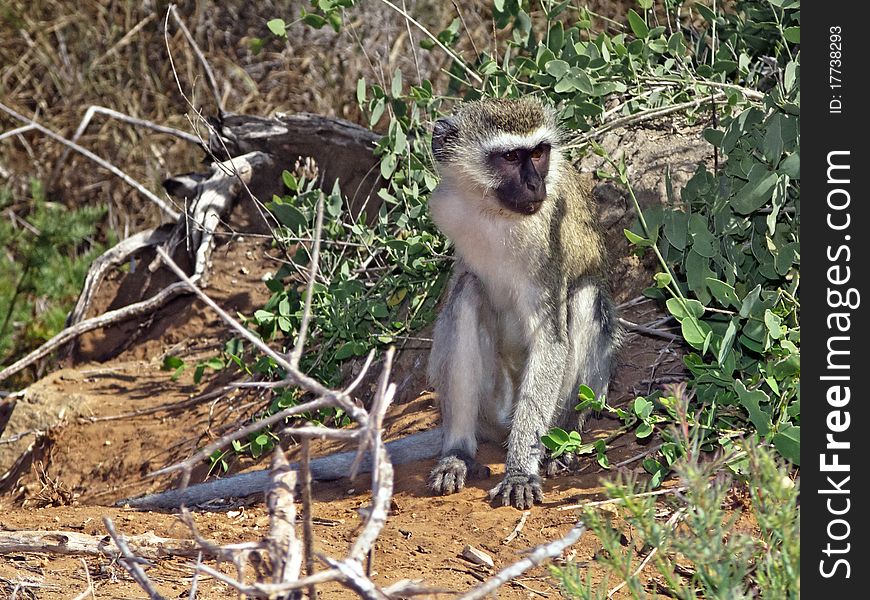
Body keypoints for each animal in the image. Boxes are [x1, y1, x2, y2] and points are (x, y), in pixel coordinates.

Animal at [424, 96, 620, 508]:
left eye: (539, 152)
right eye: (511, 157)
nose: (535, 183)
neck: (494, 213)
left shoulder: (547, 236)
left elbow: (551, 340)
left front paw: (519, 472)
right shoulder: (448, 207)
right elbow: (462, 283)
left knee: (585, 294)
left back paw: (562, 443)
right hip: (494, 403)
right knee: (468, 293)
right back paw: (459, 452)